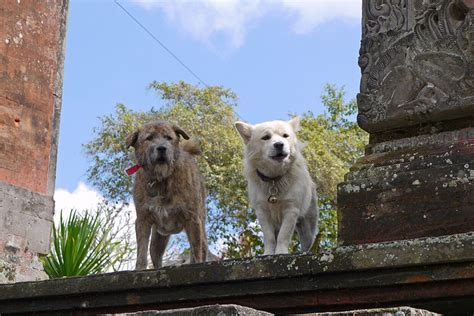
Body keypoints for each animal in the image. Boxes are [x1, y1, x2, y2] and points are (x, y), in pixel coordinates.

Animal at [126, 121, 207, 270]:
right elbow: (141, 251)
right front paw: (139, 269)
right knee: (155, 256)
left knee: (200, 247)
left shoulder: (192, 218)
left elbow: (196, 250)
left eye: (168, 138)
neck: (161, 179)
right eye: (149, 138)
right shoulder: (143, 219)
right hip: (158, 239)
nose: (162, 148)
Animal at [234, 117, 318, 256]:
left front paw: (281, 252)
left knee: (306, 244)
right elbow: (269, 237)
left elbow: (283, 236)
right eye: (266, 137)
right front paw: (268, 253)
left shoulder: (291, 210)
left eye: (285, 136)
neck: (274, 178)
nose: (279, 144)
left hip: (307, 228)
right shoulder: (262, 212)